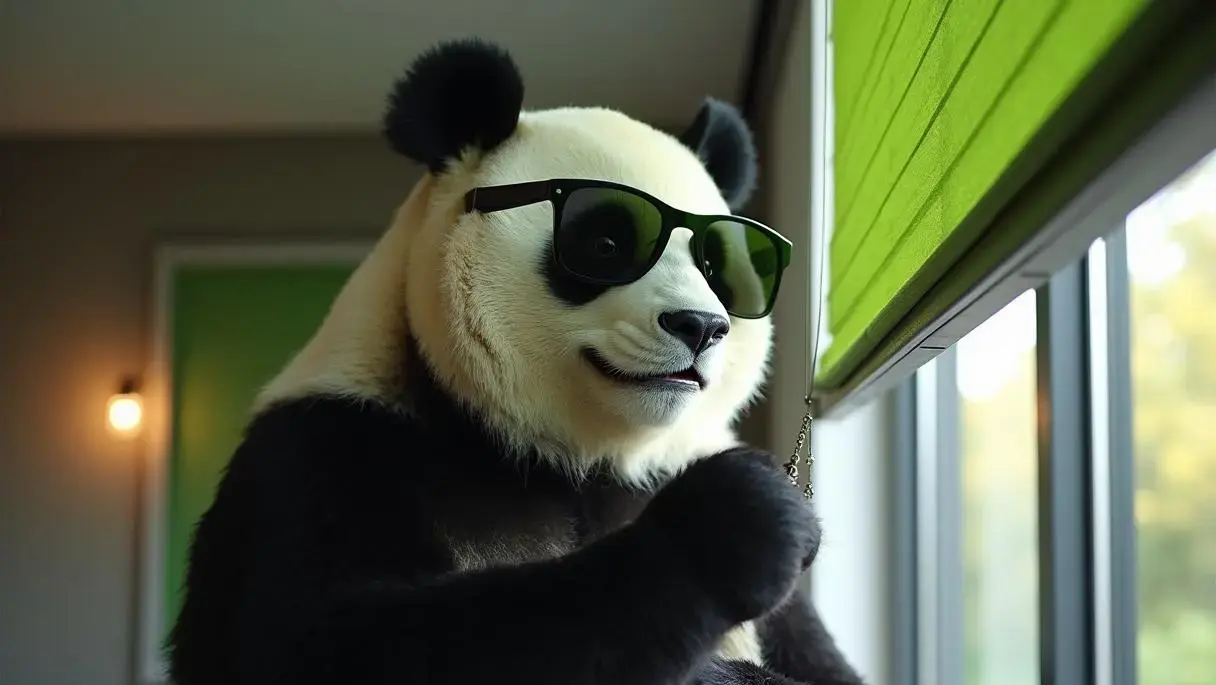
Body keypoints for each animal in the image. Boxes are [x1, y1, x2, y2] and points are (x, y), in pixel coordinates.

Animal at [167, 38, 864, 685]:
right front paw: (739, 520)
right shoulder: (331, 445)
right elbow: (317, 640)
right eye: (605, 244)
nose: (701, 326)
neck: (578, 456)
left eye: (718, 266)